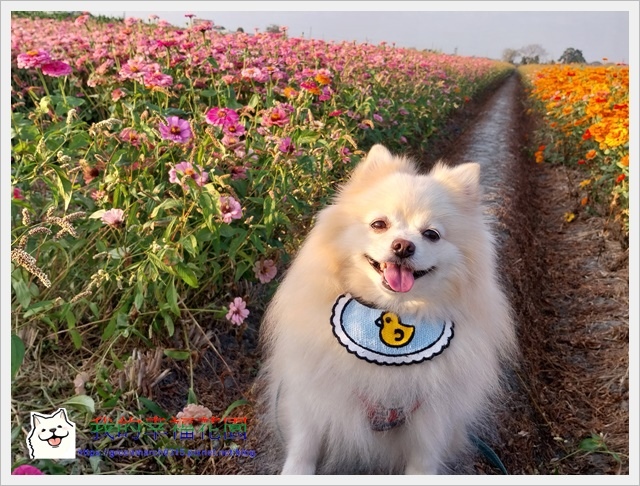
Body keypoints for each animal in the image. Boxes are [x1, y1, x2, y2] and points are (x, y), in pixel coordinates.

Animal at [258, 144, 516, 474]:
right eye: (379, 224)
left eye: (431, 234)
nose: (403, 246)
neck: (391, 311)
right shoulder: (314, 394)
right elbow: (305, 443)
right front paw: (295, 472)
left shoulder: (431, 419)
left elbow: (422, 462)